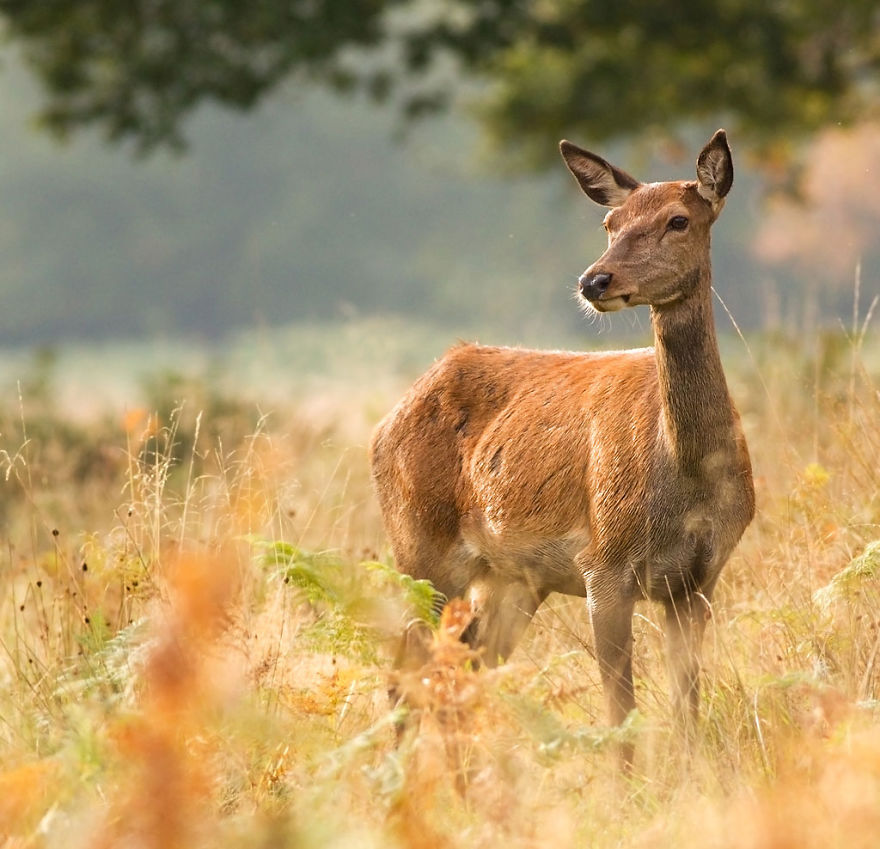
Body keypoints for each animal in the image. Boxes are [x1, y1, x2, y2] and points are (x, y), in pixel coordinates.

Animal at [370, 130, 755, 763]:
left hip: (511, 578)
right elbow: (620, 715)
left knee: (466, 670)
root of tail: (387, 419)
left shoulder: (699, 579)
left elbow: (686, 712)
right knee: (410, 675)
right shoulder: (604, 564)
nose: (593, 281)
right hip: (418, 547)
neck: (687, 477)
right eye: (610, 222)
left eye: (678, 220)